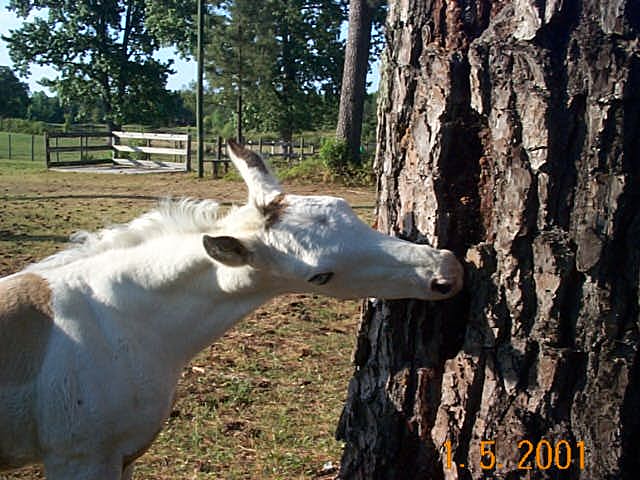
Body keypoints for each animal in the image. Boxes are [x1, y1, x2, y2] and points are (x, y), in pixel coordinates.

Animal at [0, 139, 460, 476]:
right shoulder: (81, 460)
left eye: (345, 206)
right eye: (320, 277)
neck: (117, 321)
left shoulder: (123, 458)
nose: (448, 272)